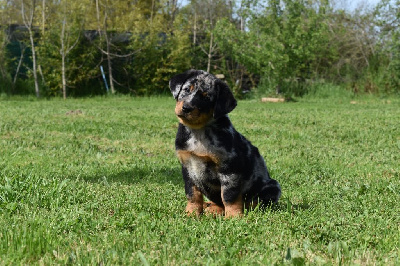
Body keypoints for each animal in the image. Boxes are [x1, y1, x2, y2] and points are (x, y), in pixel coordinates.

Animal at [169, 69, 282, 217]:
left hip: (273, 186)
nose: (186, 108)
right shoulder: (187, 167)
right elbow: (192, 195)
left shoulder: (229, 168)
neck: (198, 131)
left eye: (206, 98)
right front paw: (191, 213)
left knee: (254, 203)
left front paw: (234, 217)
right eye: (187, 89)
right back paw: (211, 207)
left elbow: (229, 196)